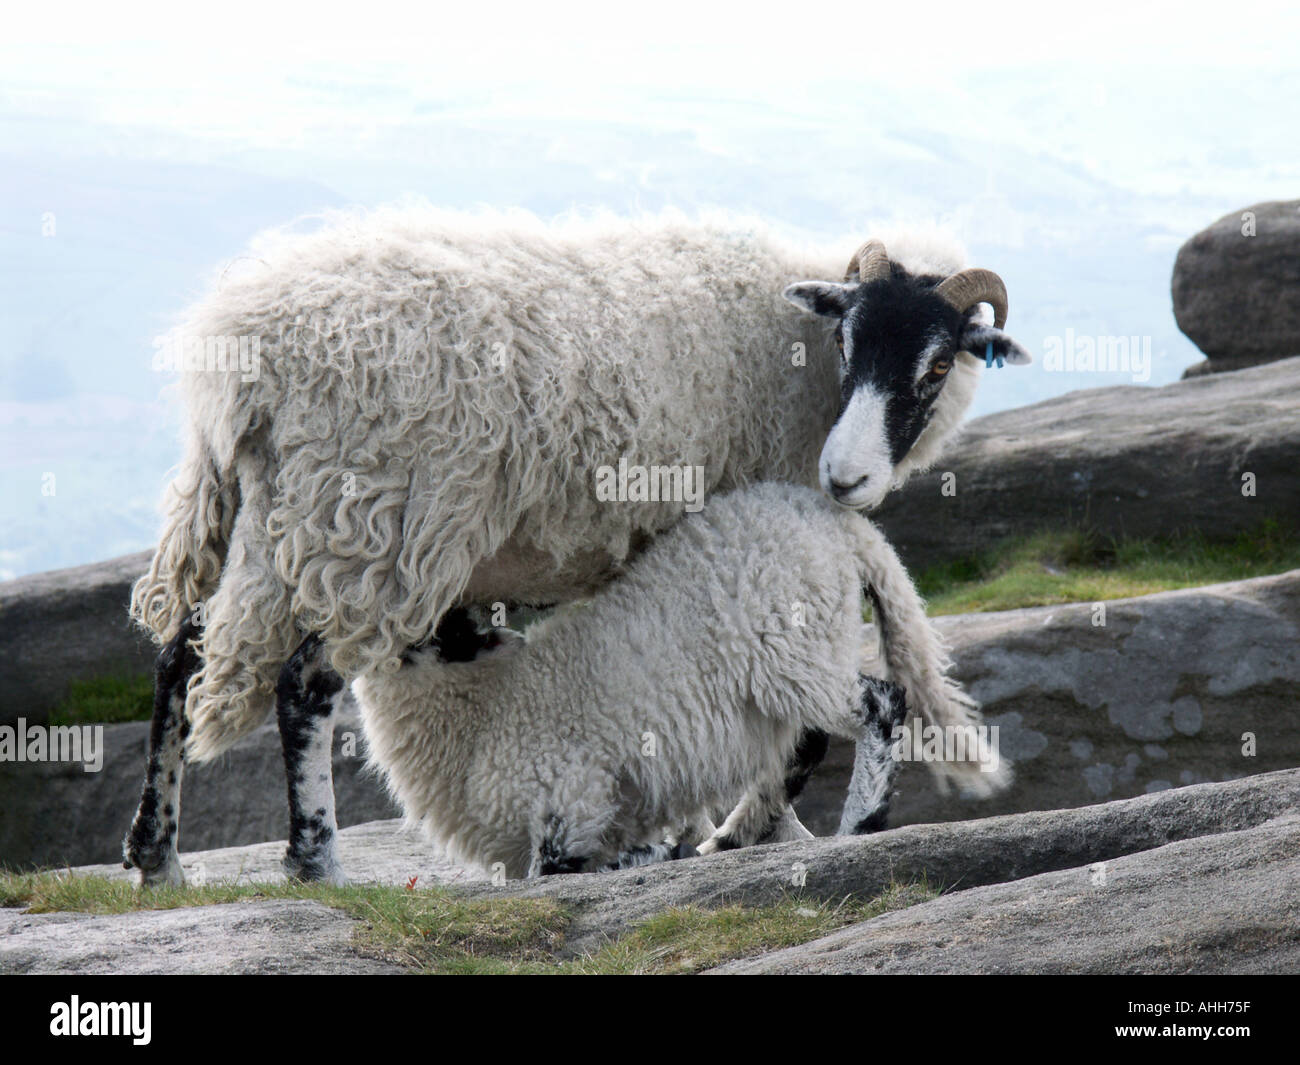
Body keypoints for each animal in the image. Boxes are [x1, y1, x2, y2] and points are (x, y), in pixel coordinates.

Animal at [126, 206, 1029, 884]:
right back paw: (315, 860)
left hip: (269, 517)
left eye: (938, 363)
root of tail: (245, 356)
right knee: (303, 683)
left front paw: (706, 827)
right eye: (845, 341)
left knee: (180, 652)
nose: (845, 478)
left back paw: (157, 855)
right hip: (376, 530)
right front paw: (751, 829)